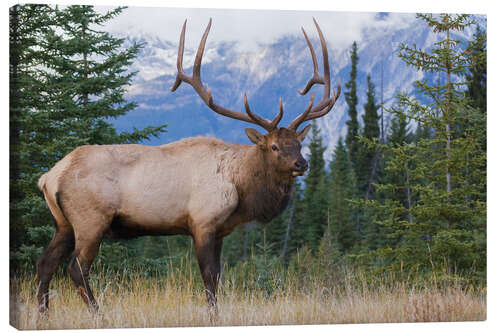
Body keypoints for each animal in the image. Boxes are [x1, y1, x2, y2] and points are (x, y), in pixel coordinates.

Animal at [35, 18, 340, 320]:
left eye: (298, 144)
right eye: (274, 146)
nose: (302, 163)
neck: (240, 186)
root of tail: (49, 177)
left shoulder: (220, 231)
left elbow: (217, 277)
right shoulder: (202, 222)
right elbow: (209, 277)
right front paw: (213, 318)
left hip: (63, 223)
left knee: (45, 264)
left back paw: (43, 315)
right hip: (91, 219)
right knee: (76, 269)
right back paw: (99, 316)